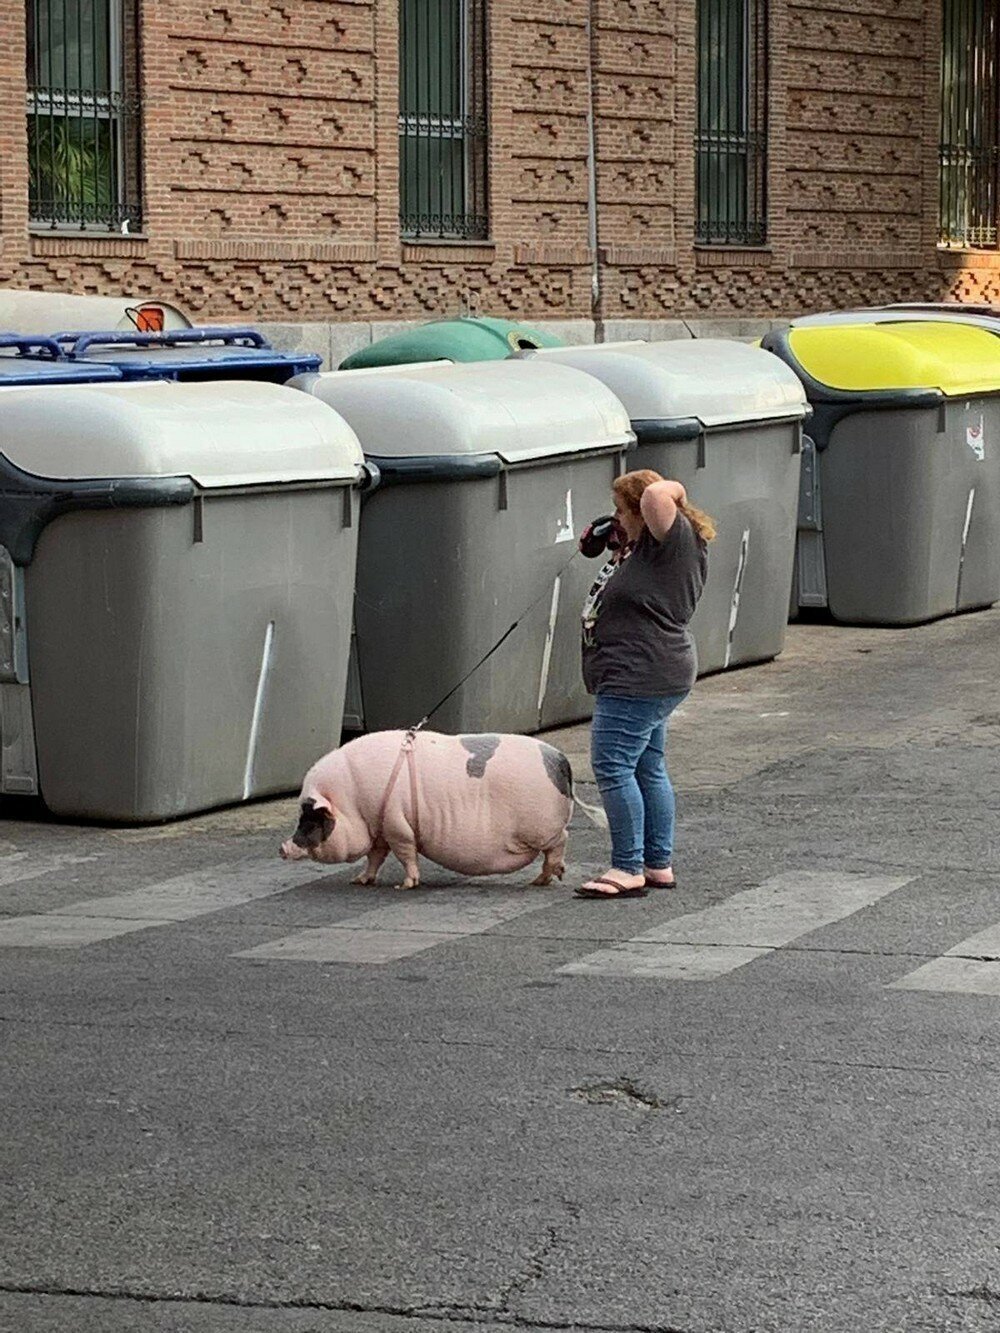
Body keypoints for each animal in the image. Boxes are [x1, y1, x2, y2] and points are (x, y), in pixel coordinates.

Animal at [278, 730, 600, 885]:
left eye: (309, 818)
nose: (281, 848)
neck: (353, 801)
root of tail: (560, 759)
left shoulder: (396, 822)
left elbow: (405, 852)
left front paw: (406, 885)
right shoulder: (380, 828)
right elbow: (375, 857)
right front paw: (359, 881)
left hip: (541, 827)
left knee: (561, 841)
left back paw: (543, 879)